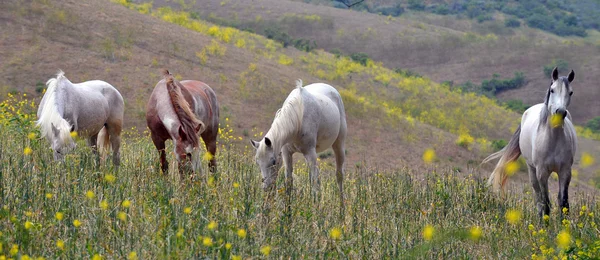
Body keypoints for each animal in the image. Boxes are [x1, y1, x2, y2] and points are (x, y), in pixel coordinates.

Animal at [252, 79, 346, 213]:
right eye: (257, 162)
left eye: (273, 161)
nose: (266, 187)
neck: (298, 118)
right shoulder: (286, 153)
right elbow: (289, 181)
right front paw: (287, 210)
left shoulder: (310, 153)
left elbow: (315, 183)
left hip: (339, 144)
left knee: (339, 175)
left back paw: (342, 210)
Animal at [482, 67, 576, 217]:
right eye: (552, 90)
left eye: (570, 92)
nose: (560, 112)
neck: (553, 141)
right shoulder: (541, 173)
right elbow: (545, 203)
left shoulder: (565, 172)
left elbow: (564, 203)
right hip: (532, 170)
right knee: (538, 199)